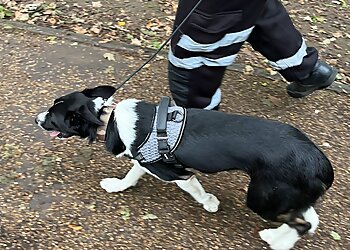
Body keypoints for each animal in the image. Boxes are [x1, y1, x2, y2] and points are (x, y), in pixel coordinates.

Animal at [35, 86, 334, 250]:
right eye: (51, 108)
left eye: (52, 118)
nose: (36, 118)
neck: (108, 118)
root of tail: (319, 162)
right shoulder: (148, 161)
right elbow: (131, 175)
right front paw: (116, 186)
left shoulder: (175, 172)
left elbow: (195, 190)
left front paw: (210, 203)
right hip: (285, 195)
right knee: (309, 216)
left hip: (262, 198)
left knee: (303, 222)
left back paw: (275, 240)